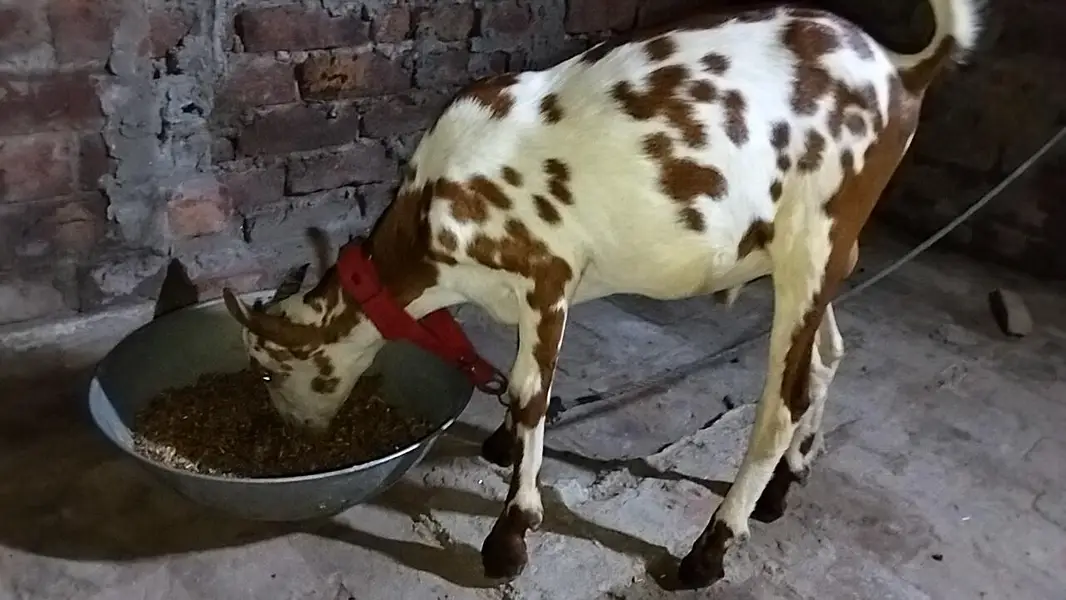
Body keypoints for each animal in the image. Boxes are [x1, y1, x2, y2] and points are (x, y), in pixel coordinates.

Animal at [222, 0, 983, 588]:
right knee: (828, 355)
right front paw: (501, 444)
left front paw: (511, 535)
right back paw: (783, 488)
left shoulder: (546, 274)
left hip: (813, 238)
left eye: (267, 371)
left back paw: (709, 551)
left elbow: (532, 393)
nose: (292, 435)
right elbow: (524, 381)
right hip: (821, 257)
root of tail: (900, 69)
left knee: (783, 398)